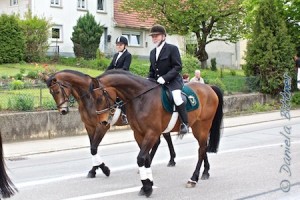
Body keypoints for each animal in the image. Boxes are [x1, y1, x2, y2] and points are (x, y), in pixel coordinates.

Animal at [41, 69, 178, 178]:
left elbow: (94, 148)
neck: (88, 99)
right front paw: (95, 169)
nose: (63, 111)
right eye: (51, 93)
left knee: (164, 138)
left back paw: (170, 160)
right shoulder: (89, 126)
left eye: (57, 91)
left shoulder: (102, 126)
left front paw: (103, 169)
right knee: (160, 140)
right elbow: (92, 148)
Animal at [89, 70, 223, 197]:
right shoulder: (139, 134)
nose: (103, 122)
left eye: (100, 98)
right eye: (92, 100)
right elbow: (146, 159)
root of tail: (209, 87)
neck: (141, 99)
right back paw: (205, 172)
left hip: (202, 126)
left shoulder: (152, 133)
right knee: (203, 148)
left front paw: (147, 188)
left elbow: (141, 158)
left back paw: (193, 179)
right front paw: (147, 185)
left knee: (201, 149)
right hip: (198, 127)